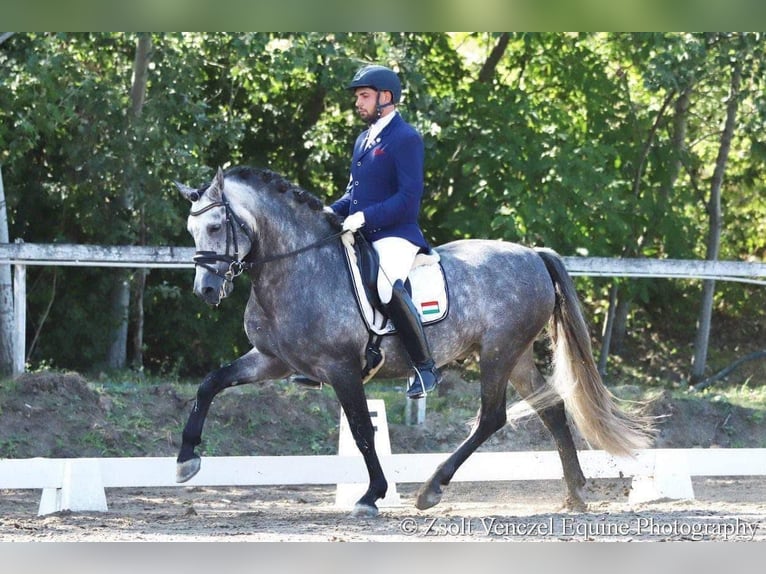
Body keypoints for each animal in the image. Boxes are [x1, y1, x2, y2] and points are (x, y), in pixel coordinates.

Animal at [172, 165, 656, 516]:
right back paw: (575, 494)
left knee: (492, 417)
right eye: (192, 232)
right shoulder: (271, 359)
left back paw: (432, 489)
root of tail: (533, 254)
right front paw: (186, 460)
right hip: (516, 355)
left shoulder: (342, 368)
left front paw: (372, 495)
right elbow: (210, 384)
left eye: (215, 227)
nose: (206, 291)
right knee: (551, 409)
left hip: (498, 352)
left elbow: (363, 430)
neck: (297, 267)